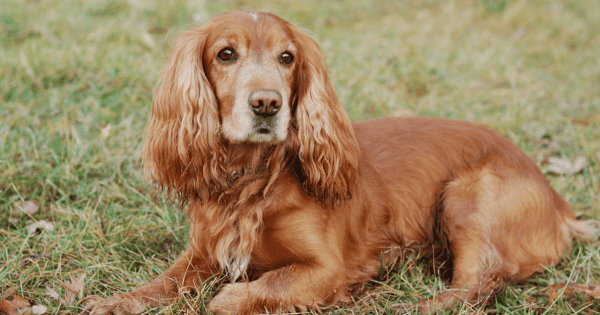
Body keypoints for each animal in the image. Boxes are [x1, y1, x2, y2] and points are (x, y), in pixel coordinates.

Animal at [83, 10, 596, 315]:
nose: (267, 103)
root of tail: (559, 202)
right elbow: (161, 283)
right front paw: (117, 301)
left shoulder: (326, 268)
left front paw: (229, 297)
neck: (252, 181)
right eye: (225, 54)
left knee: (478, 283)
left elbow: (260, 287)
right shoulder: (202, 252)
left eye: (287, 57)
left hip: (468, 194)